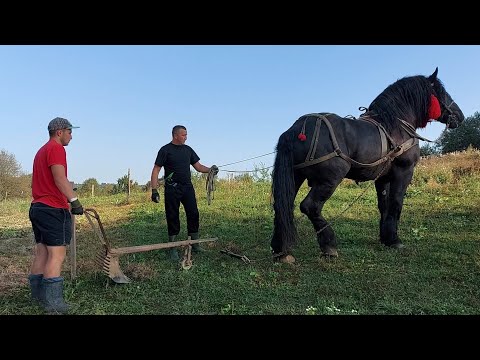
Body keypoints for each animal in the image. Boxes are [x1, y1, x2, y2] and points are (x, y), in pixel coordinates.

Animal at [274, 67, 464, 260]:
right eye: (441, 91)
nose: (460, 116)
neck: (396, 124)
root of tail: (297, 129)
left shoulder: (383, 178)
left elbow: (384, 206)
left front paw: (386, 237)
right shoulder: (404, 171)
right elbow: (396, 203)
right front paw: (394, 240)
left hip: (295, 176)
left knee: (282, 206)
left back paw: (281, 251)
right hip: (330, 179)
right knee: (310, 206)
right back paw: (328, 245)